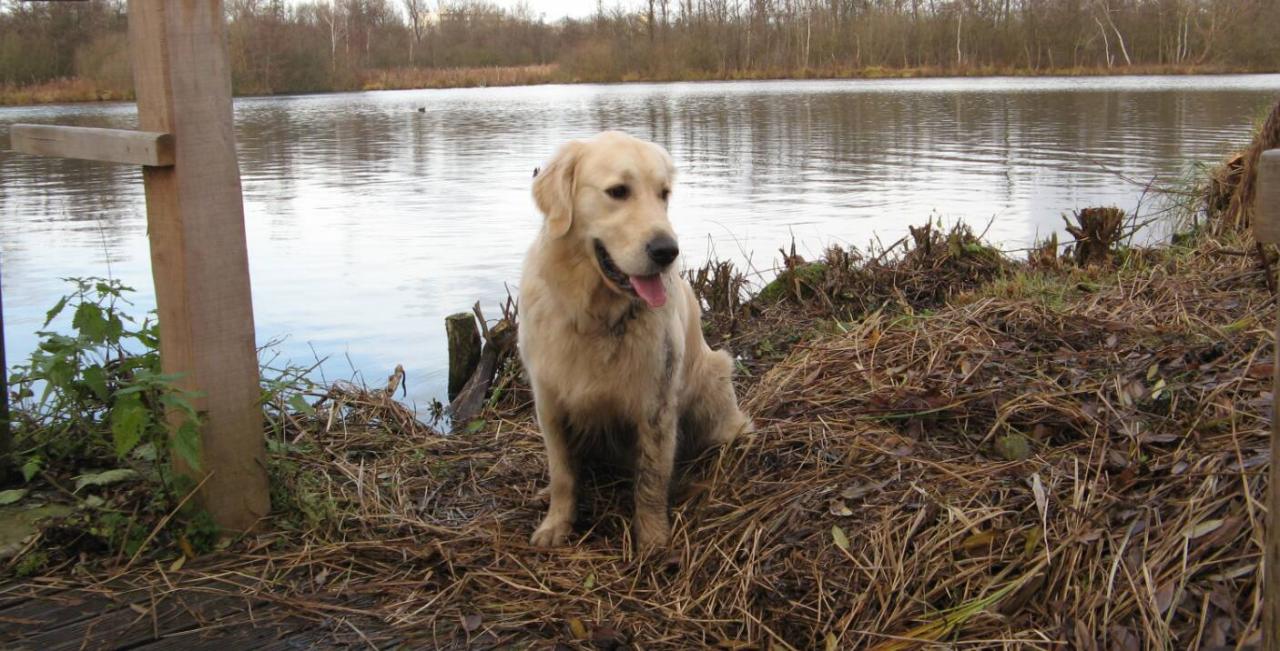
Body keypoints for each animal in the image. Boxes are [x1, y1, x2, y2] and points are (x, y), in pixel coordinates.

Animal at [519, 129, 752, 544]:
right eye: (618, 191)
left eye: (664, 194)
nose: (667, 251)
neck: (594, 316)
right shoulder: (549, 401)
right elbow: (563, 473)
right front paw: (555, 524)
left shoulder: (655, 405)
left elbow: (651, 480)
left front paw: (653, 538)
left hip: (715, 378)